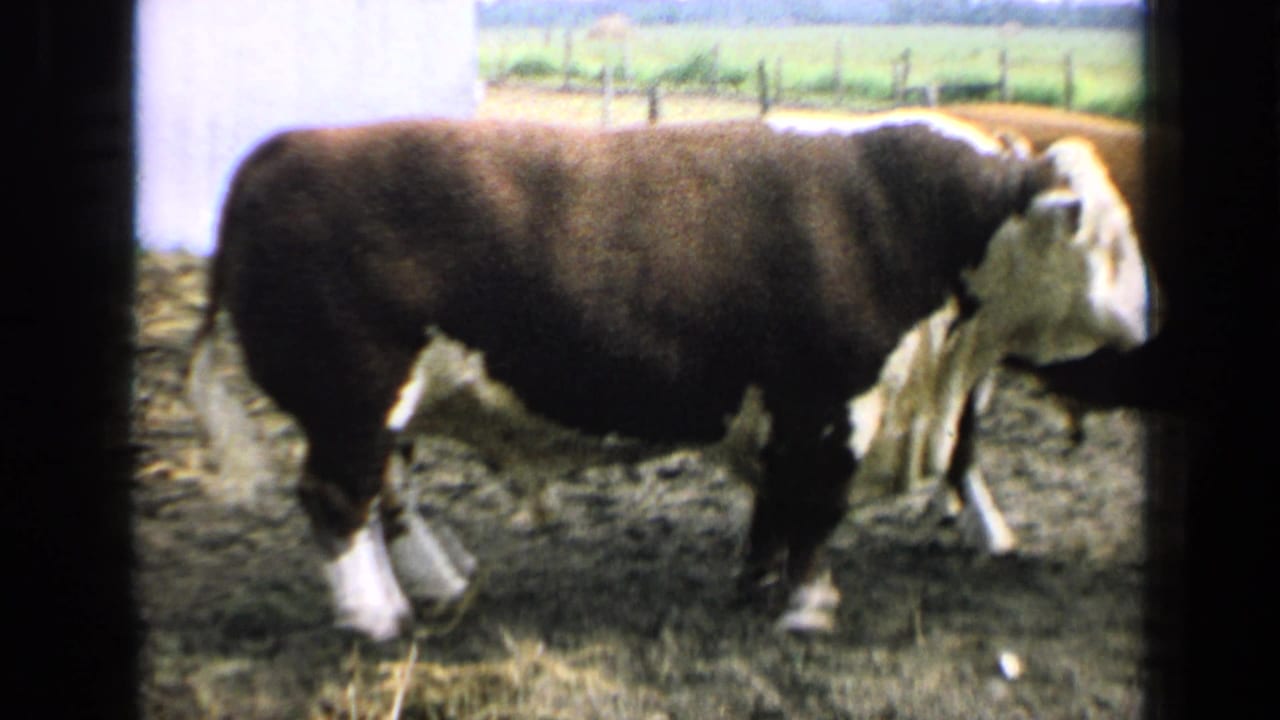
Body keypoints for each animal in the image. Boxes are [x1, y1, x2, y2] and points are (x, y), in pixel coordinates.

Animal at [188, 110, 1153, 641]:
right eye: (1102, 237)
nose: (1150, 317)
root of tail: (284, 149)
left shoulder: (786, 414)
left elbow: (774, 509)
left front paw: (759, 585)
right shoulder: (834, 405)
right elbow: (814, 514)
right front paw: (808, 607)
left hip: (386, 410)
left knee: (388, 494)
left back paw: (437, 583)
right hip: (352, 400)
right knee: (338, 500)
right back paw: (379, 618)